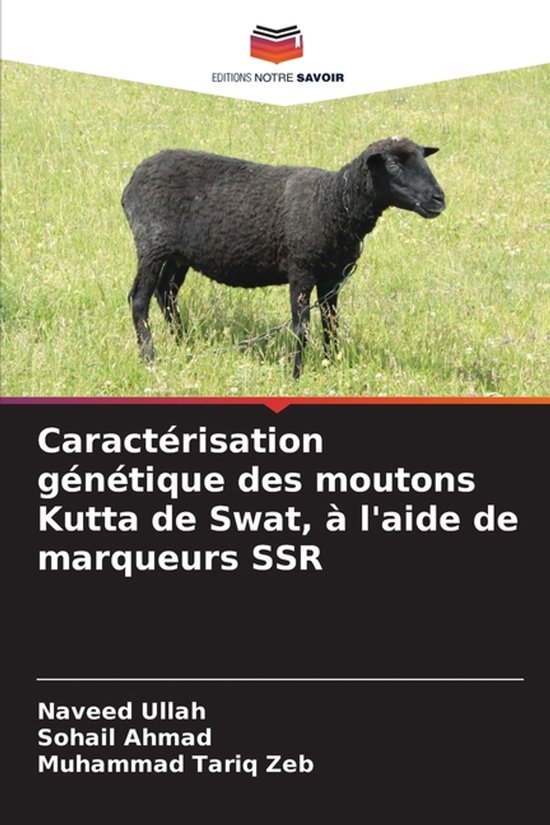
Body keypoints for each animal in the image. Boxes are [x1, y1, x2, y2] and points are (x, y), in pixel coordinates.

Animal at [122, 136, 445, 378]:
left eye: (423, 158)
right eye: (392, 164)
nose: (439, 199)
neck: (333, 202)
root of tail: (133, 180)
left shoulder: (332, 277)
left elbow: (331, 322)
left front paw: (331, 363)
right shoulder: (301, 268)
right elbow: (301, 327)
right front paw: (296, 375)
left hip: (177, 255)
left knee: (166, 293)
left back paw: (183, 343)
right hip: (151, 244)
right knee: (139, 298)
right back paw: (150, 358)